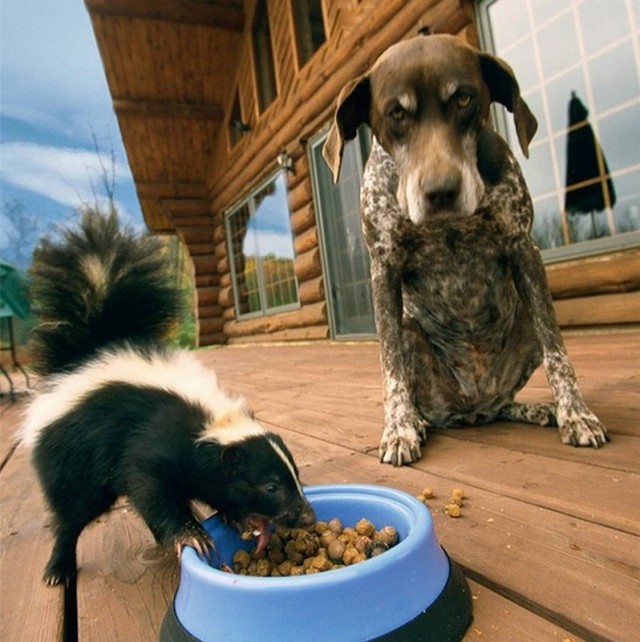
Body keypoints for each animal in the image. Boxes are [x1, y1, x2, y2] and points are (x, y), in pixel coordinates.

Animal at [22, 211, 316, 584]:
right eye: (271, 487)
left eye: (294, 475)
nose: (307, 516)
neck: (209, 422)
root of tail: (88, 357)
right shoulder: (150, 443)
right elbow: (148, 486)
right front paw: (190, 535)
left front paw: (238, 518)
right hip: (73, 460)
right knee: (72, 513)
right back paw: (58, 567)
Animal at [322, 33, 608, 464]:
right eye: (397, 114)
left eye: (463, 99)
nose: (440, 190)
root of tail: (473, 405)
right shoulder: (383, 267)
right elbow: (391, 369)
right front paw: (399, 427)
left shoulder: (522, 247)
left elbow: (558, 352)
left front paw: (575, 413)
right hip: (410, 332)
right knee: (423, 395)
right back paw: (419, 420)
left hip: (523, 325)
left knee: (508, 399)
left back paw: (538, 409)